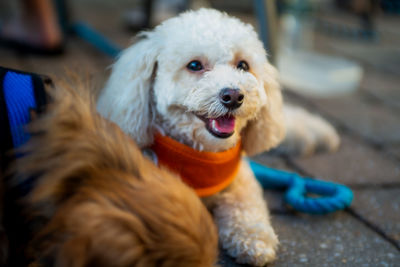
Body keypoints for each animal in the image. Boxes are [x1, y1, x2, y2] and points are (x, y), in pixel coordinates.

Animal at [97, 7, 338, 266]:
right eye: (194, 65)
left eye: (243, 65)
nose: (233, 96)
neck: (202, 156)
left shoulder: (241, 177)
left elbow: (247, 206)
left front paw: (254, 238)